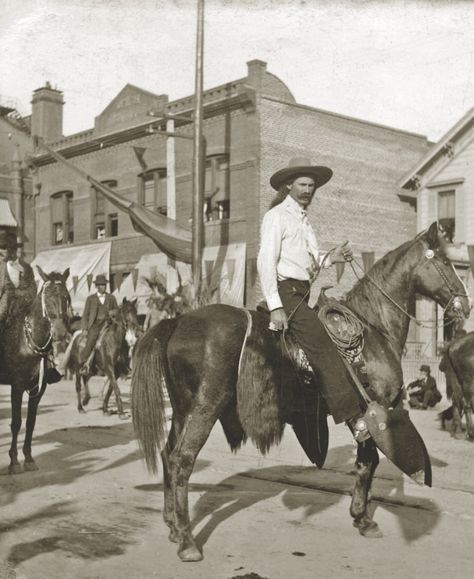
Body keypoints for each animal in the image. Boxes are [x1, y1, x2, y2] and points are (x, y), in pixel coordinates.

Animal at [0, 268, 71, 476]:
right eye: (46, 297)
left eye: (66, 297)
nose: (59, 333)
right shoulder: (16, 386)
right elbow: (16, 422)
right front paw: (14, 461)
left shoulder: (36, 389)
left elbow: (30, 422)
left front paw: (29, 458)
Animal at [131, 222, 472, 560]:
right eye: (444, 262)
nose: (465, 305)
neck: (373, 329)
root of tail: (177, 322)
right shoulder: (371, 411)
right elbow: (368, 462)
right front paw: (362, 518)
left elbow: (368, 463)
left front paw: (361, 515)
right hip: (204, 408)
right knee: (182, 460)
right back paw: (188, 542)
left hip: (182, 409)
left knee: (167, 454)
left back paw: (173, 526)